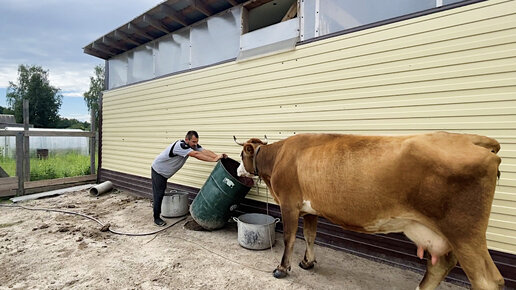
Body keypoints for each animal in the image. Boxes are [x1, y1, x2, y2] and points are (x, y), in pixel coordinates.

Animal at [236, 132, 506, 290]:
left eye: (242, 153)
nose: (238, 169)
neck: (278, 157)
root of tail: (470, 140)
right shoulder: (311, 208)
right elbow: (311, 236)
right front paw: (307, 262)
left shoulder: (289, 203)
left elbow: (291, 238)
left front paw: (282, 269)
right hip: (435, 231)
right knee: (440, 265)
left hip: (465, 232)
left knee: (487, 280)